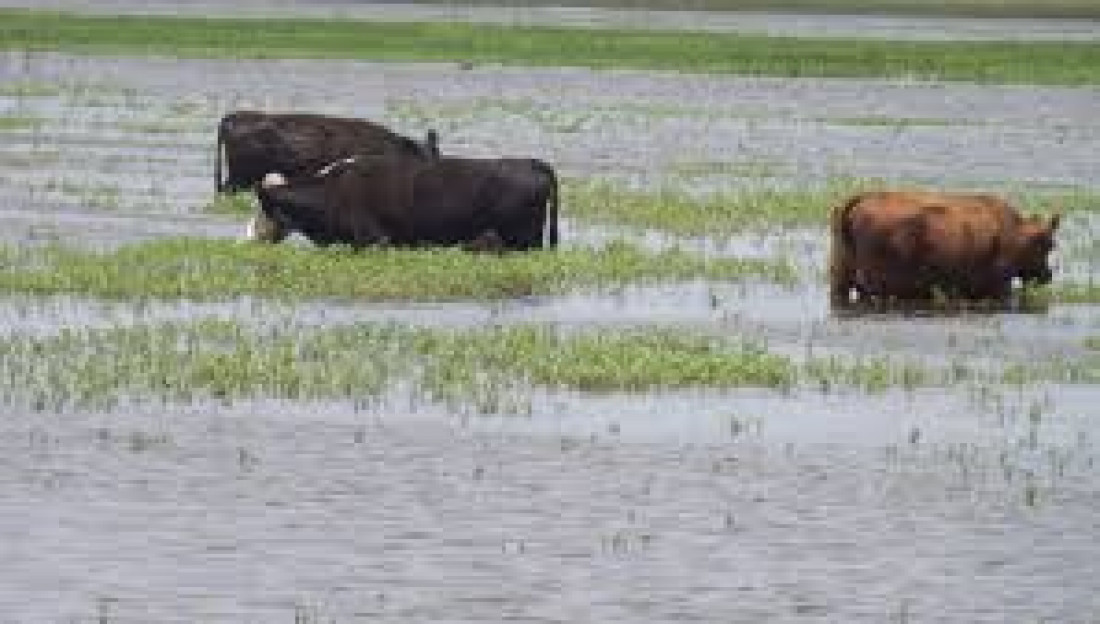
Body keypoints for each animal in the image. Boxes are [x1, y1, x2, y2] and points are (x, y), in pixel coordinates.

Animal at [827, 192, 1060, 305]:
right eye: (1048, 244)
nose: (1047, 275)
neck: (1013, 230)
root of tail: (861, 198)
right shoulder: (1000, 286)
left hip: (841, 281)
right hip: (875, 286)